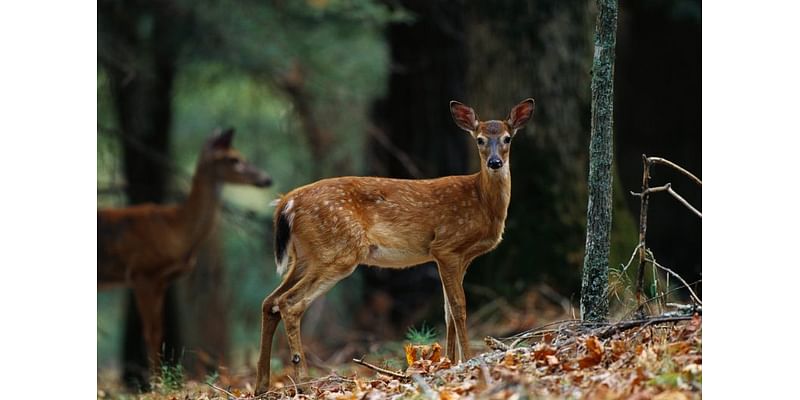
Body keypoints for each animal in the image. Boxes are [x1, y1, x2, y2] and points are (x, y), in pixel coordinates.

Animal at [95, 129, 272, 372]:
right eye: (233, 159)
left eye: (240, 155)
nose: (266, 179)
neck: (177, 229)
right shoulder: (142, 273)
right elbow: (151, 332)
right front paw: (157, 379)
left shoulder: (160, 281)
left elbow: (160, 331)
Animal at [253, 98, 536, 392]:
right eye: (479, 139)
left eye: (507, 138)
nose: (495, 162)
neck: (482, 203)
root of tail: (286, 202)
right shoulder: (446, 247)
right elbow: (459, 307)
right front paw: (467, 359)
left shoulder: (459, 257)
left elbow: (447, 311)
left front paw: (449, 361)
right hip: (338, 251)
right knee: (288, 303)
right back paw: (304, 381)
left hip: (305, 256)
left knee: (269, 302)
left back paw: (262, 384)